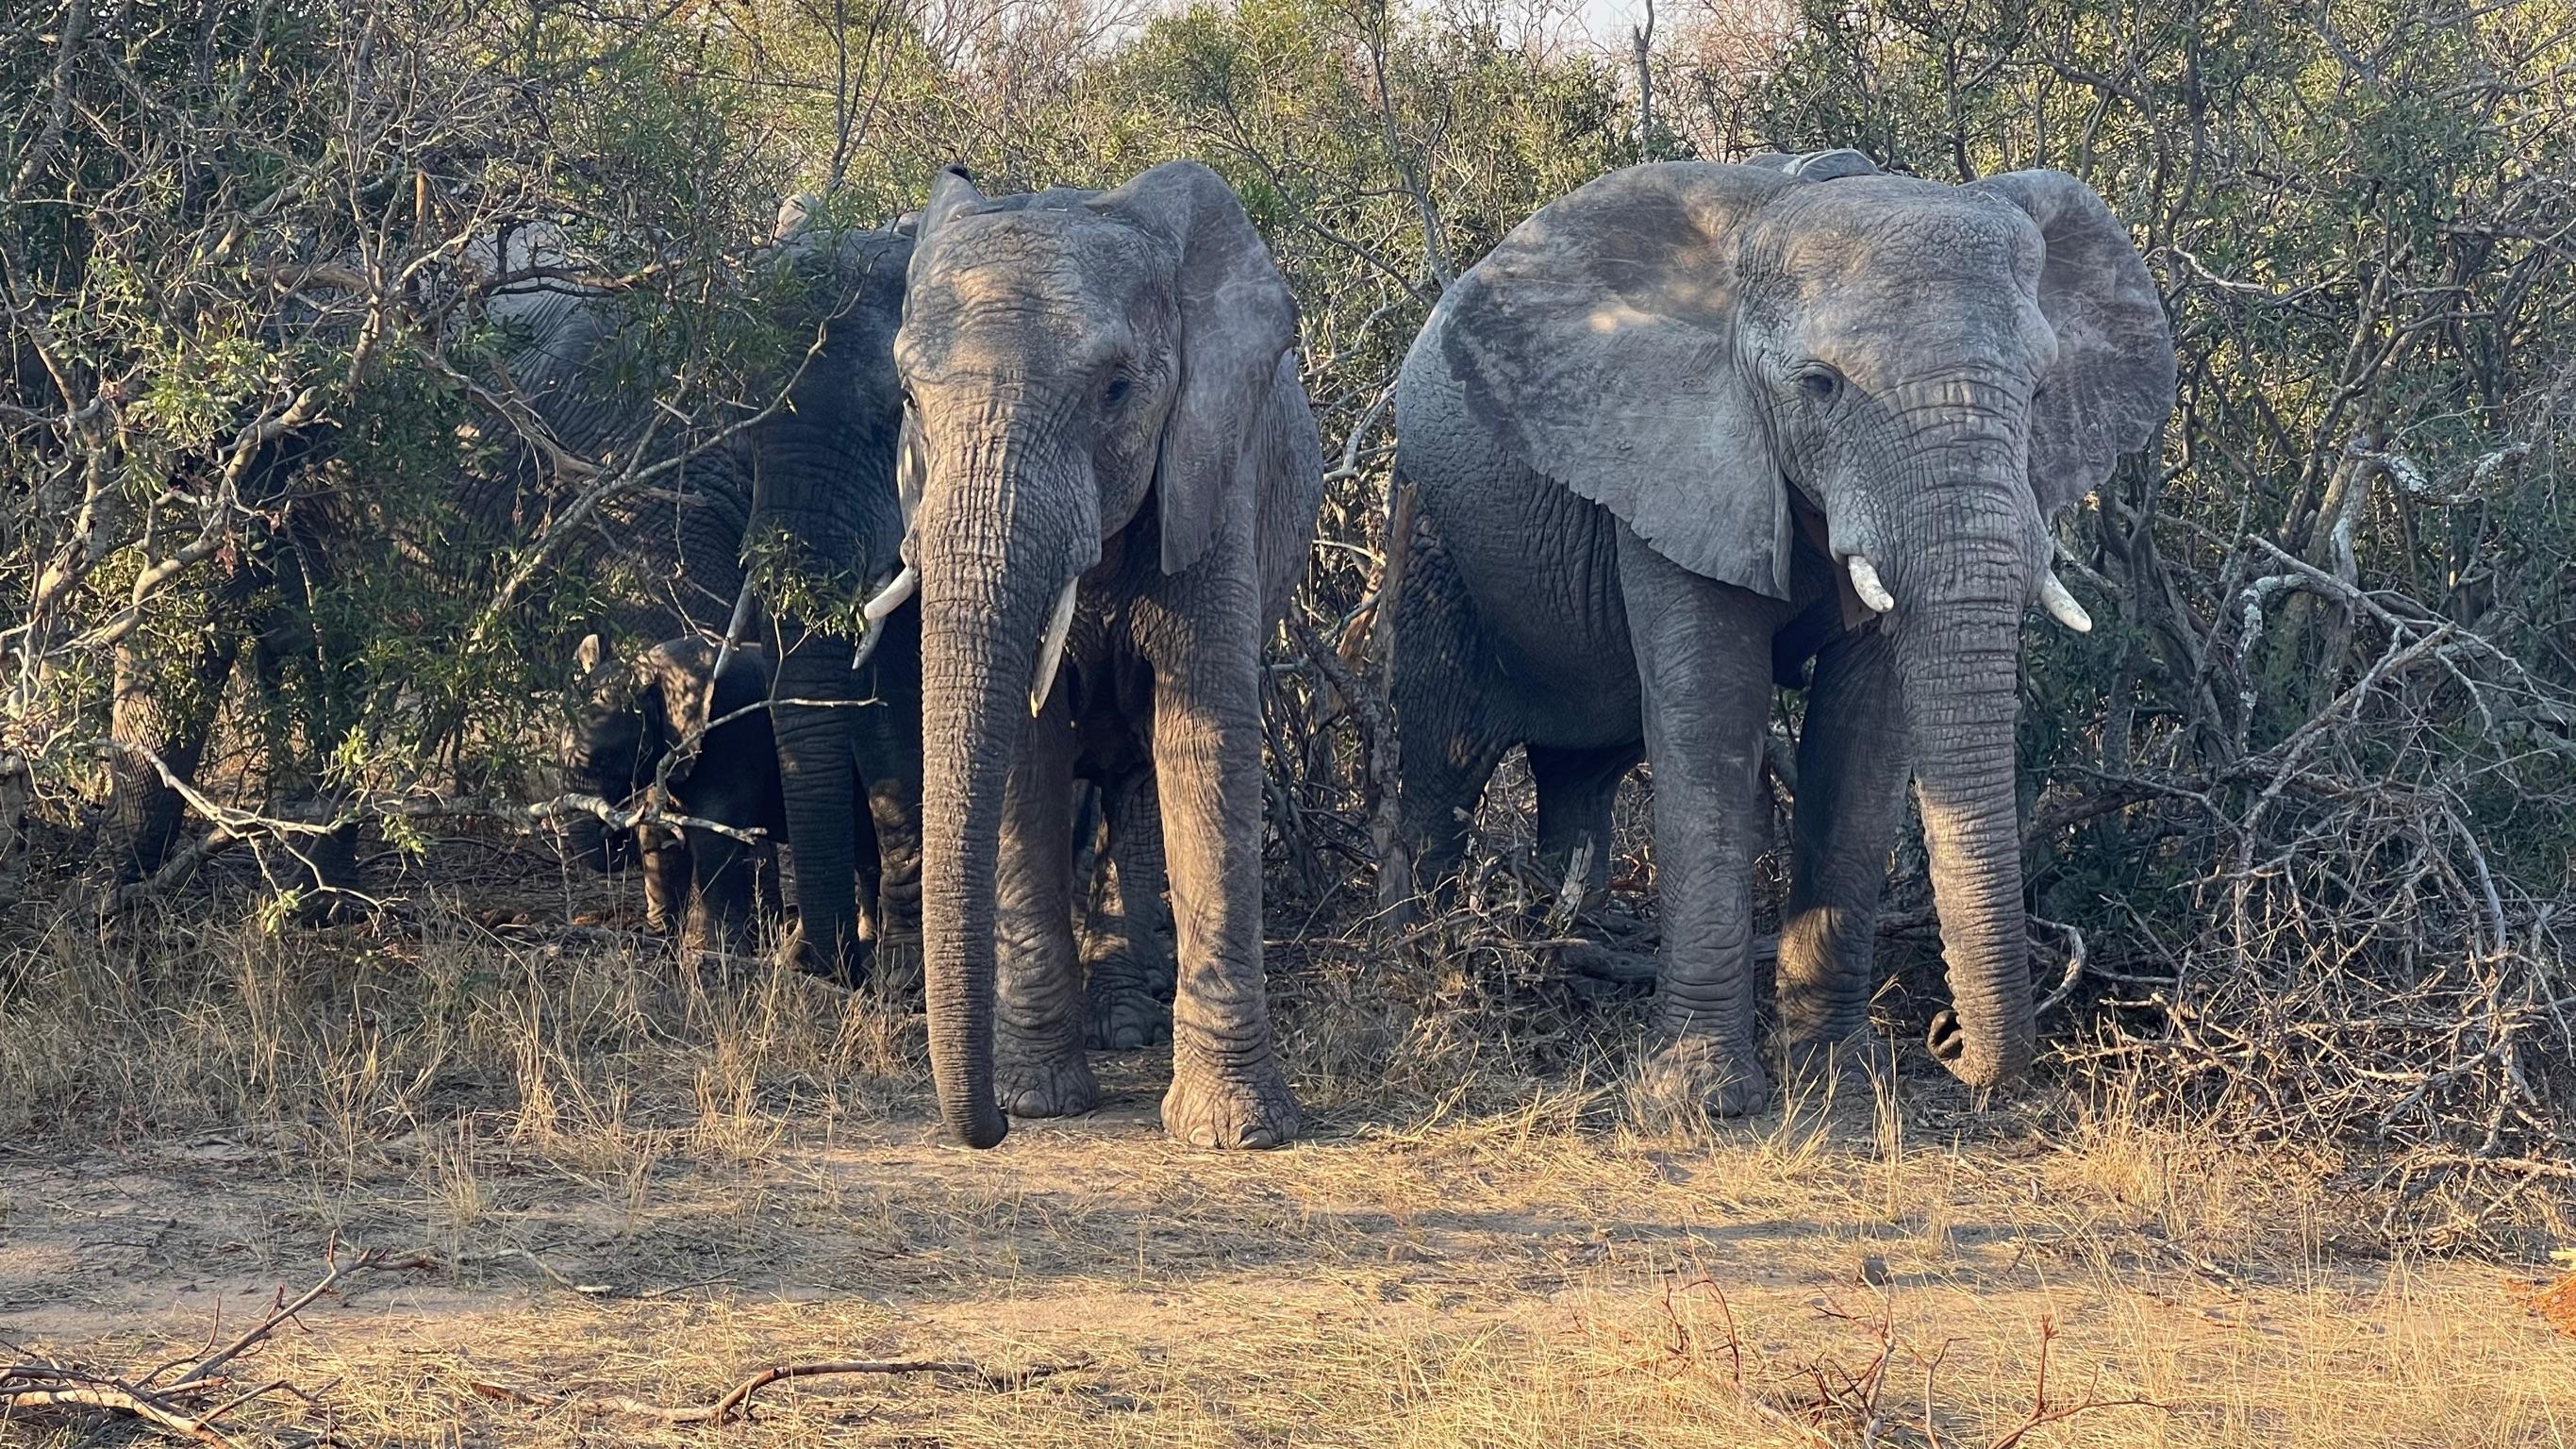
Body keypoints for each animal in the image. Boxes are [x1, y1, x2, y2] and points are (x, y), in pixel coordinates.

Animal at [569, 628, 788, 948]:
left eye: (608, 759)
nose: (610, 830)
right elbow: (657, 834)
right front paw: (661, 937)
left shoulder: (730, 736)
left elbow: (714, 836)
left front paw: (716, 951)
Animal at [1390, 149, 2173, 1103]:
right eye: (1819, 386)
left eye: (2038, 388)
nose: (1945, 1041)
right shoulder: (1678, 458)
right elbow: (1710, 717)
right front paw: (1699, 1098)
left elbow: (1863, 739)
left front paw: (1838, 1076)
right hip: (1431, 533)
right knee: (1444, 757)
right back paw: (1431, 967)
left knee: (1579, 778)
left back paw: (1563, 942)